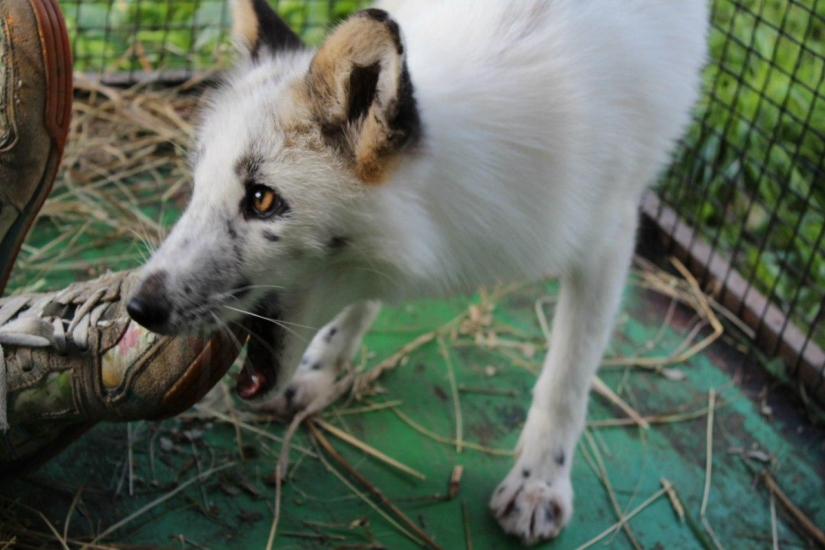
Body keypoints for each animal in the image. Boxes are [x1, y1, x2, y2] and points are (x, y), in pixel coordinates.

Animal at [128, 0, 707, 543]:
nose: (137, 307)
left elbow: (567, 380)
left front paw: (541, 481)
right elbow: (359, 304)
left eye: (261, 200)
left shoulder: (610, 236)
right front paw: (323, 367)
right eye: (197, 183)